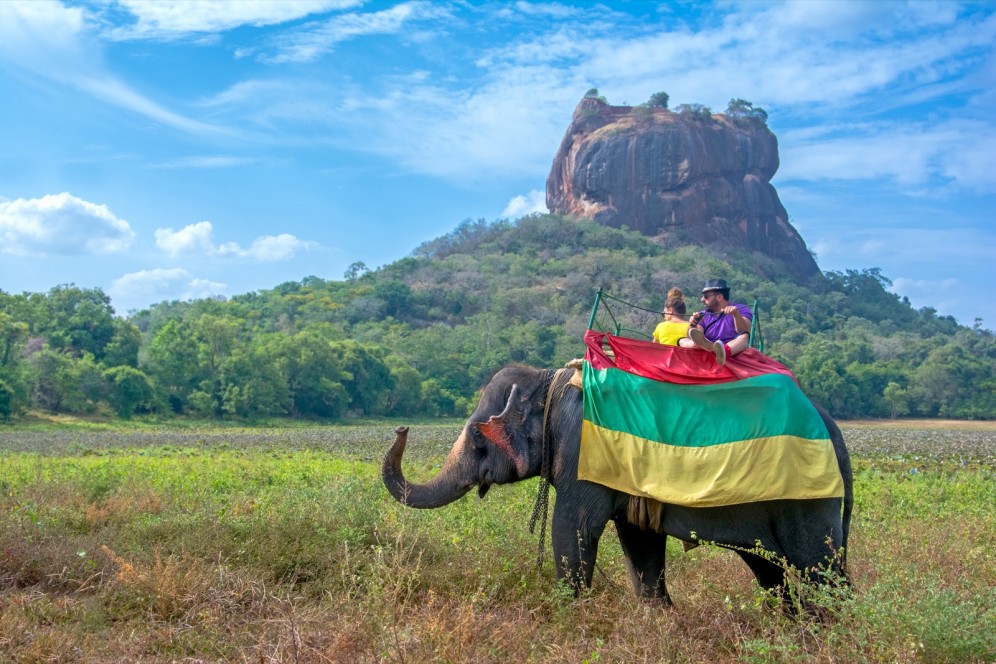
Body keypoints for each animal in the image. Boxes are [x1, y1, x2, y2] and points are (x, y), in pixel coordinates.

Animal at [386, 364, 852, 608]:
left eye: (477, 436)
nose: (401, 428)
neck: (550, 380)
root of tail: (836, 433)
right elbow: (638, 540)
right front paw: (658, 617)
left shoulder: (582, 452)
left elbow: (573, 528)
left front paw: (569, 613)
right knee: (772, 571)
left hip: (806, 500)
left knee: (820, 567)